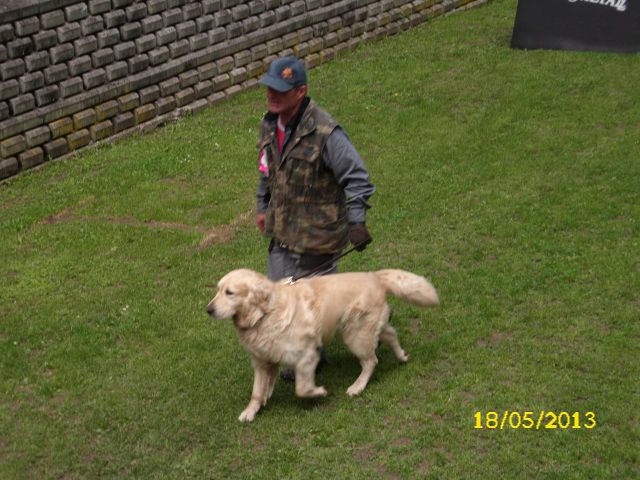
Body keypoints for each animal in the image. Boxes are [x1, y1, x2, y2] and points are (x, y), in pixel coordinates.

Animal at [208, 268, 438, 422]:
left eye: (230, 292)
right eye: (218, 290)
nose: (208, 310)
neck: (264, 314)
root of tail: (373, 275)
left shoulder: (306, 356)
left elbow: (301, 389)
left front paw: (319, 392)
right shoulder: (262, 361)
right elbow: (256, 391)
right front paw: (251, 411)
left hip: (354, 334)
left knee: (372, 360)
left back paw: (357, 387)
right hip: (367, 328)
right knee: (390, 334)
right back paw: (402, 356)